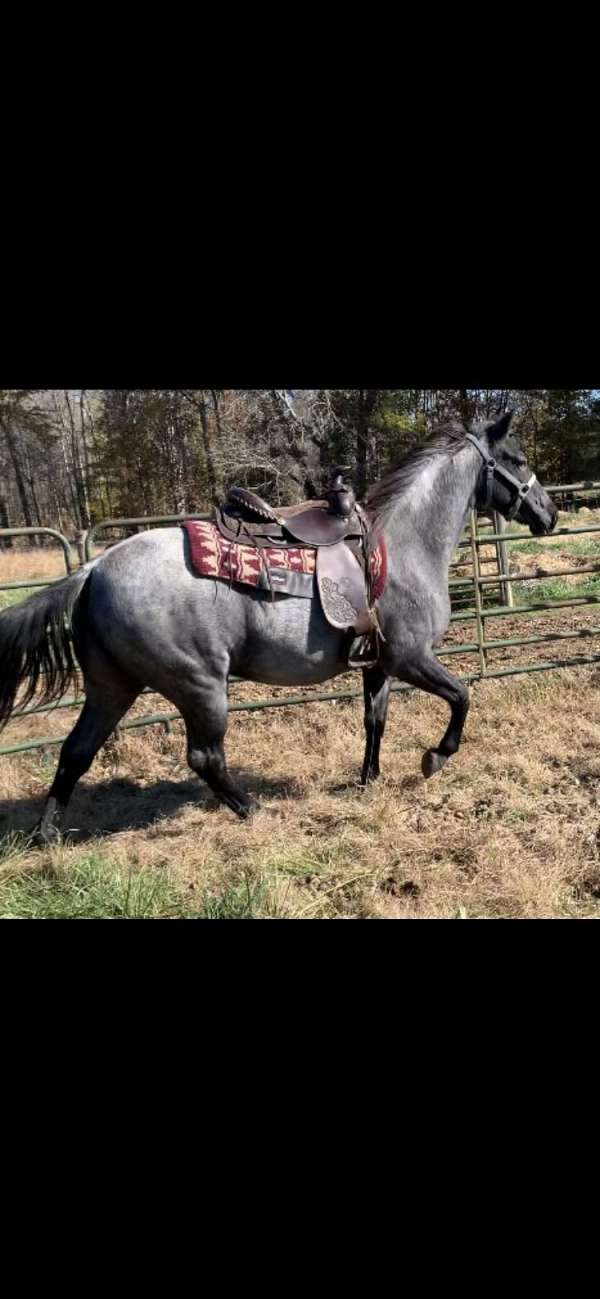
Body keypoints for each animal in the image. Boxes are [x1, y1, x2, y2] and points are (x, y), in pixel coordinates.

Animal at [0, 411, 557, 841]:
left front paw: (369, 779)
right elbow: (462, 696)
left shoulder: (377, 664)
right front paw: (435, 758)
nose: (549, 514)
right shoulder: (411, 658)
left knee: (77, 751)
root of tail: (95, 569)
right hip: (201, 686)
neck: (403, 548)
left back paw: (47, 836)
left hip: (112, 687)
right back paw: (253, 810)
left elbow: (374, 721)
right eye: (517, 459)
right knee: (205, 757)